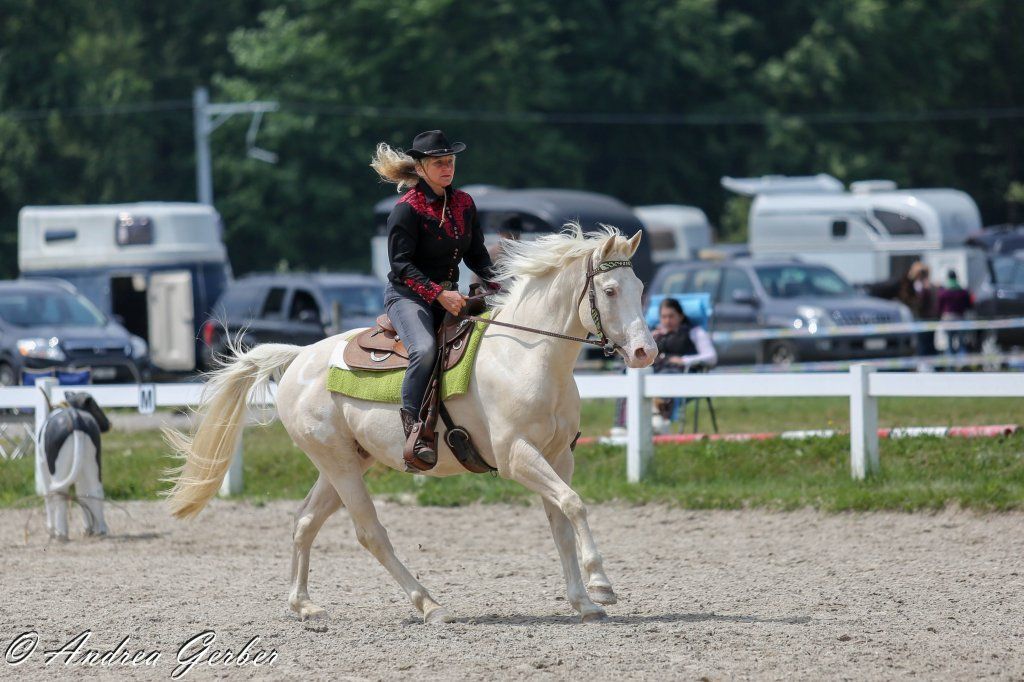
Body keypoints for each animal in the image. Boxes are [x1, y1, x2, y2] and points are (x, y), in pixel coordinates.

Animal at [164, 224, 657, 624]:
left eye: (639, 286)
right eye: (609, 290)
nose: (644, 353)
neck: (527, 357)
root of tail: (298, 356)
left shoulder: (558, 456)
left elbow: (561, 521)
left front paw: (584, 601)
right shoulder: (517, 455)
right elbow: (574, 505)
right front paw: (601, 586)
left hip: (347, 463)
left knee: (305, 521)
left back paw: (304, 605)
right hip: (340, 464)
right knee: (370, 534)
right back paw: (429, 604)